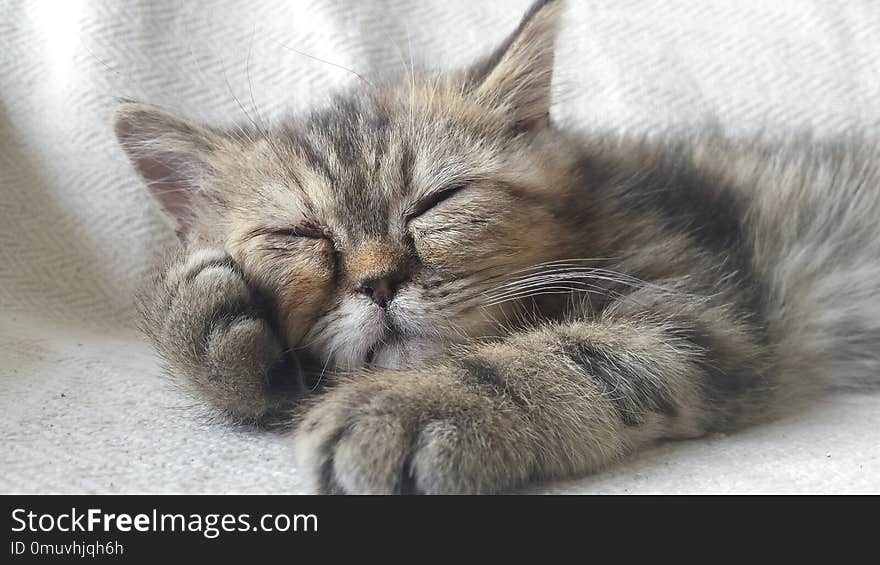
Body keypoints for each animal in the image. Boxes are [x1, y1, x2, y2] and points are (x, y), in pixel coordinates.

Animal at [113, 0, 880, 494]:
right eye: (298, 235)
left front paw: (420, 404)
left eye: (438, 201)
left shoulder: (700, 313)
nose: (379, 281)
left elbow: (566, 353)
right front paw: (199, 321)